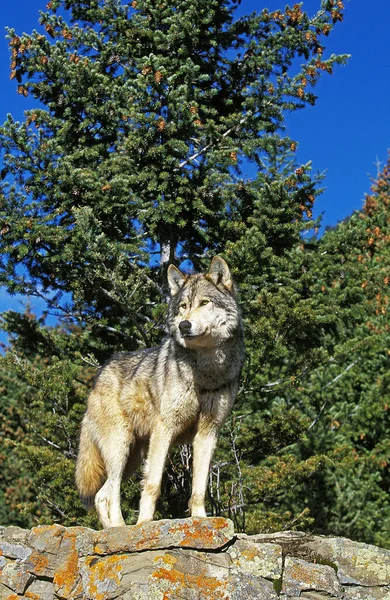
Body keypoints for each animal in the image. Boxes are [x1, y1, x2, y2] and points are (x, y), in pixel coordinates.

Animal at [76, 255, 244, 528]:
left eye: (204, 303)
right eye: (183, 306)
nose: (184, 325)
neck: (206, 370)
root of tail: (100, 374)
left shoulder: (208, 433)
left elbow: (199, 487)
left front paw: (201, 519)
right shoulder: (165, 429)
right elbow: (153, 484)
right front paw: (144, 523)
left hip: (132, 456)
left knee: (102, 494)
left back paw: (112, 529)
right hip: (120, 447)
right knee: (110, 493)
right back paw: (121, 528)